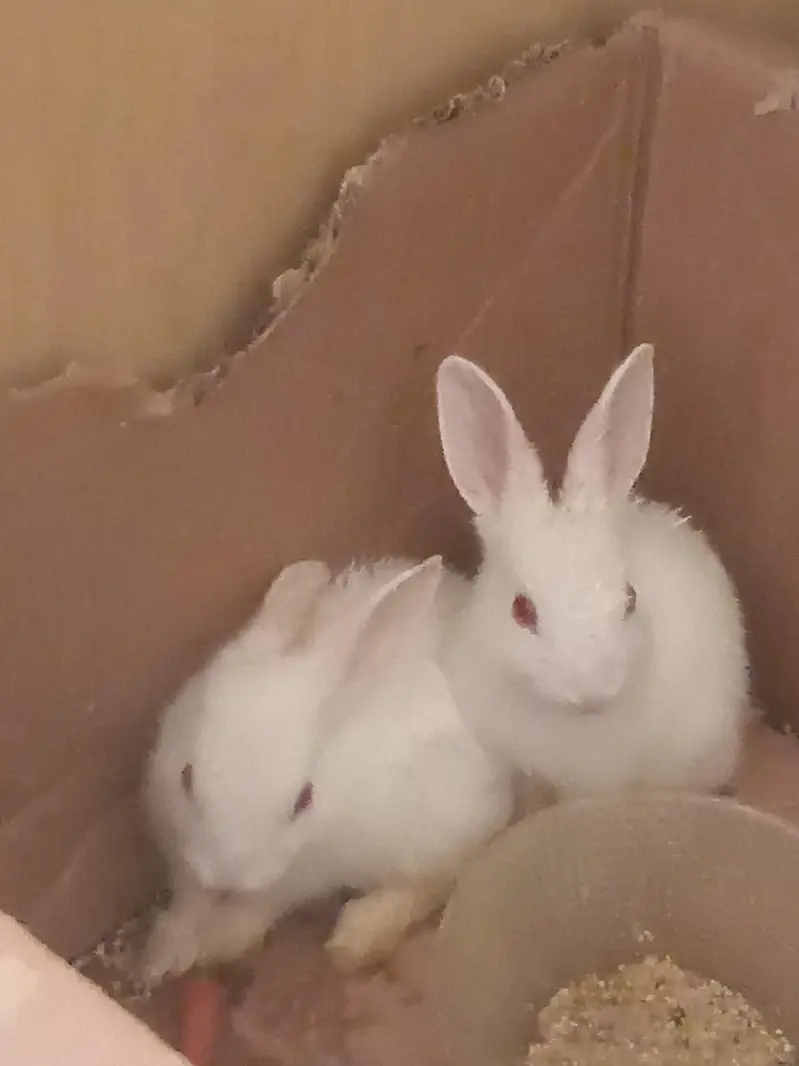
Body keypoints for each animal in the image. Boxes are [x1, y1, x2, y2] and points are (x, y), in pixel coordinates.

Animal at [141, 554, 512, 983]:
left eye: (305, 800)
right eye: (186, 777)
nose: (224, 877)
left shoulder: (305, 873)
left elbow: (261, 905)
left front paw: (218, 943)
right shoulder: (180, 844)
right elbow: (188, 900)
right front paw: (160, 957)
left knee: (431, 883)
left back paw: (355, 936)